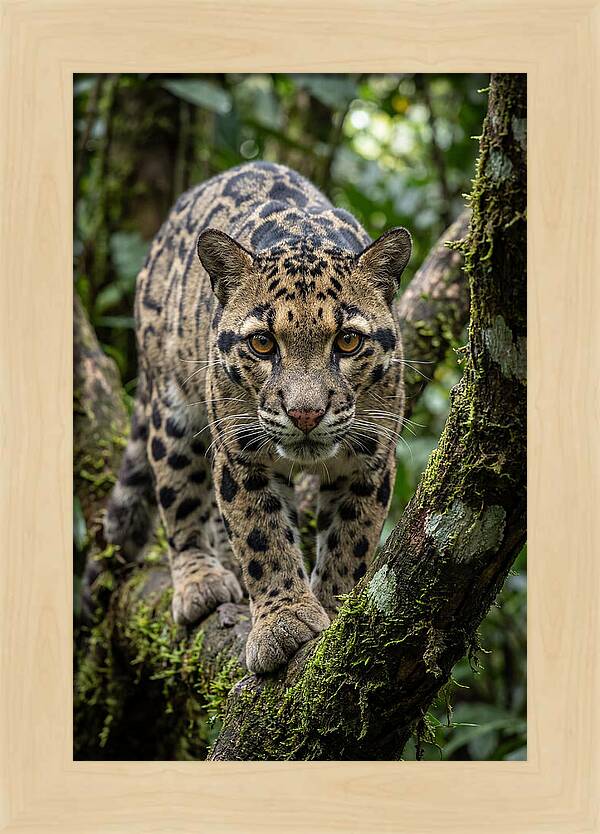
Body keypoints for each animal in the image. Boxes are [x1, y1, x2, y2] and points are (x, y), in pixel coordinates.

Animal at [105, 161, 411, 674]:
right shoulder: (240, 452)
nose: (305, 413)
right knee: (179, 497)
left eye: (348, 341)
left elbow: (351, 539)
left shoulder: (370, 456)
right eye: (263, 343)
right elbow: (261, 536)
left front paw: (334, 608)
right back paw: (201, 580)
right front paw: (283, 623)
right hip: (171, 408)